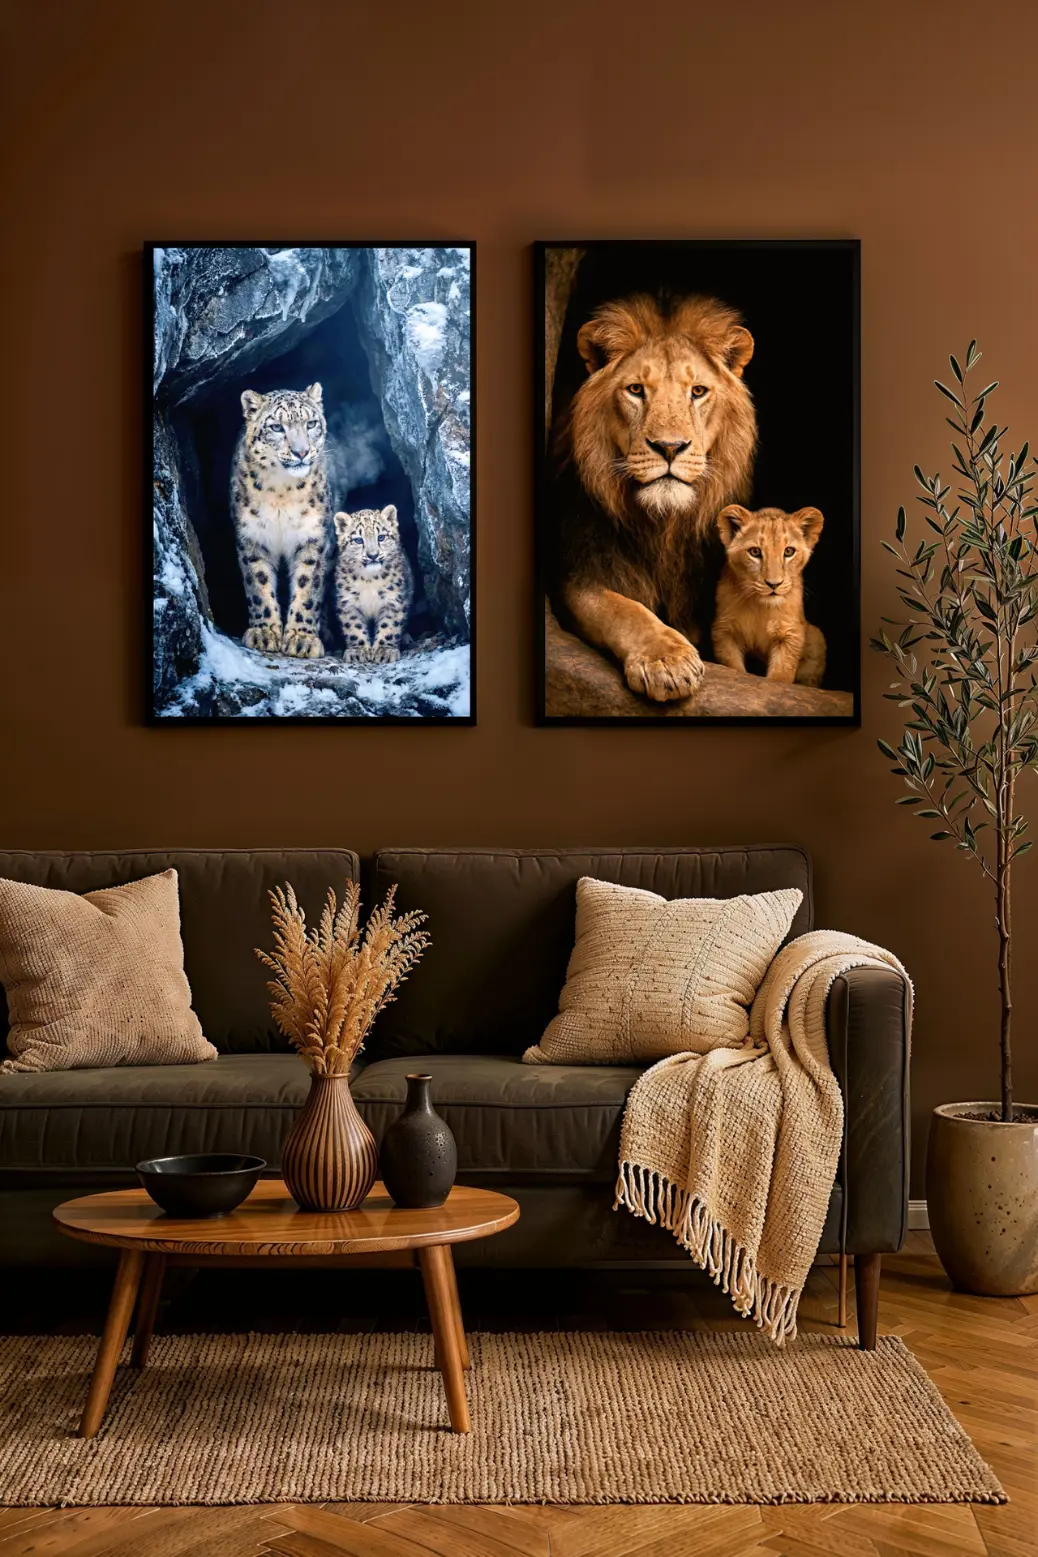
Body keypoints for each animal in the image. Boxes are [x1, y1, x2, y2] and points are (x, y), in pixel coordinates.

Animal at [548, 292, 757, 702]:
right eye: (636, 390)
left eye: (697, 391)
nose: (670, 447)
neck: (662, 527)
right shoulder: (580, 568)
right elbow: (622, 609)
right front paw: (667, 661)